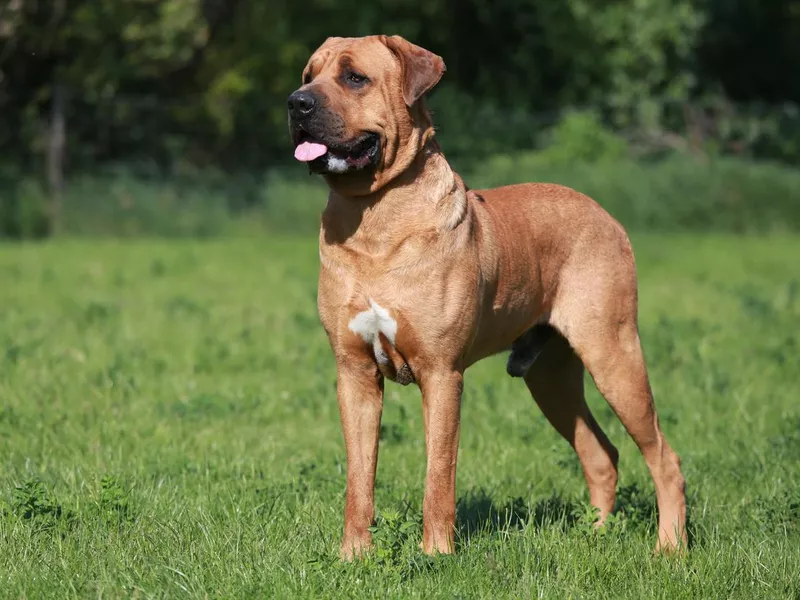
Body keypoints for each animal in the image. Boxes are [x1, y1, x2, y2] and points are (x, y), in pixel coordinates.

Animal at [288, 34, 688, 556]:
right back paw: (596, 535)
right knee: (600, 453)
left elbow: (439, 473)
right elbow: (360, 477)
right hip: (550, 376)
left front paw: (436, 553)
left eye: (355, 77)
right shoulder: (353, 373)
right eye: (308, 75)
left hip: (613, 354)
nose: (296, 103)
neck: (374, 213)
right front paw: (353, 556)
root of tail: (606, 215)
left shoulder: (442, 374)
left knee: (663, 457)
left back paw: (670, 547)